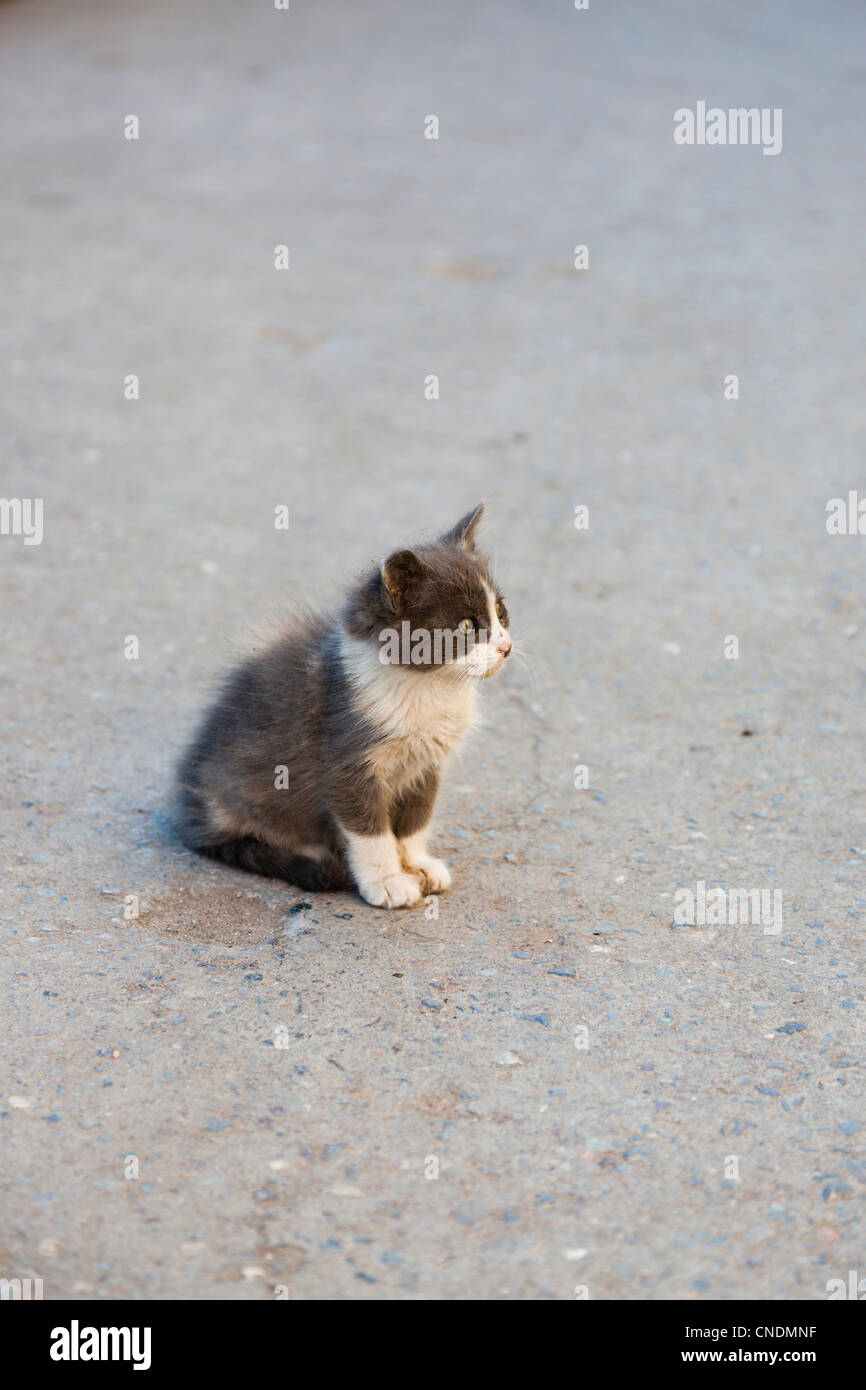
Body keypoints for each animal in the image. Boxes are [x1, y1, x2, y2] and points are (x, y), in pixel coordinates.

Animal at [179, 505, 511, 906]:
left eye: (501, 611)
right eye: (465, 626)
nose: (506, 647)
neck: (429, 687)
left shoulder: (426, 762)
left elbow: (416, 818)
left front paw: (417, 864)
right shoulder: (344, 762)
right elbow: (370, 831)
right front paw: (387, 880)